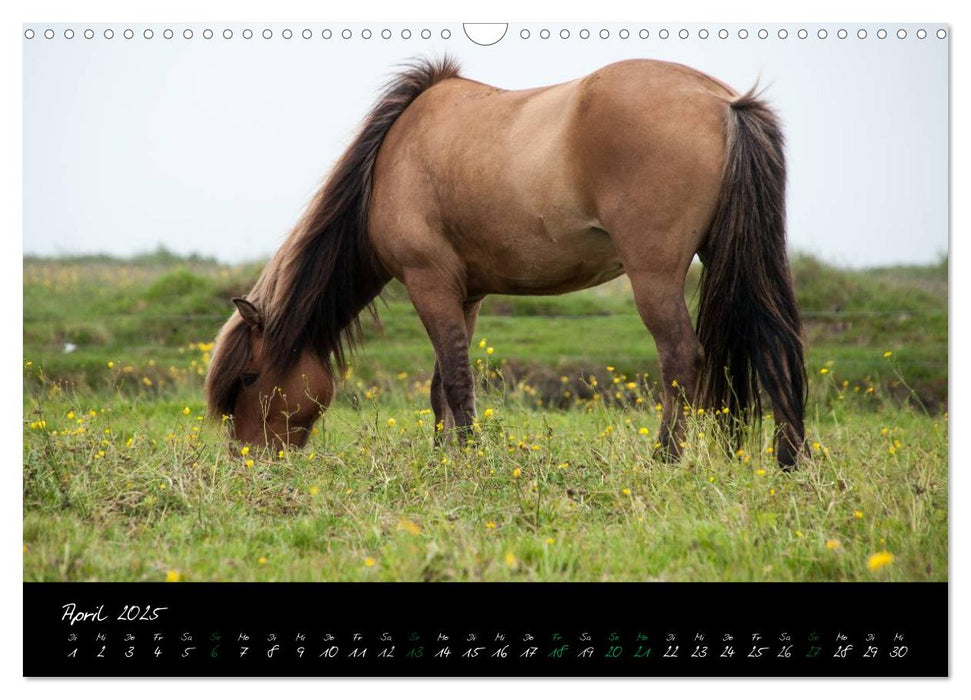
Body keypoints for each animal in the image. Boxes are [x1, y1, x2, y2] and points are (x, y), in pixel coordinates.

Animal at [207, 56, 812, 470]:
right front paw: (444, 457)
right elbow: (441, 384)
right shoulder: (465, 293)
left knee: (681, 357)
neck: (389, 162)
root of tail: (723, 102)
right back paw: (790, 459)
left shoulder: (428, 283)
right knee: (775, 343)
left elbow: (456, 380)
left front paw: (467, 457)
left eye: (249, 377)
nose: (247, 462)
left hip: (654, 274)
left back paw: (665, 459)